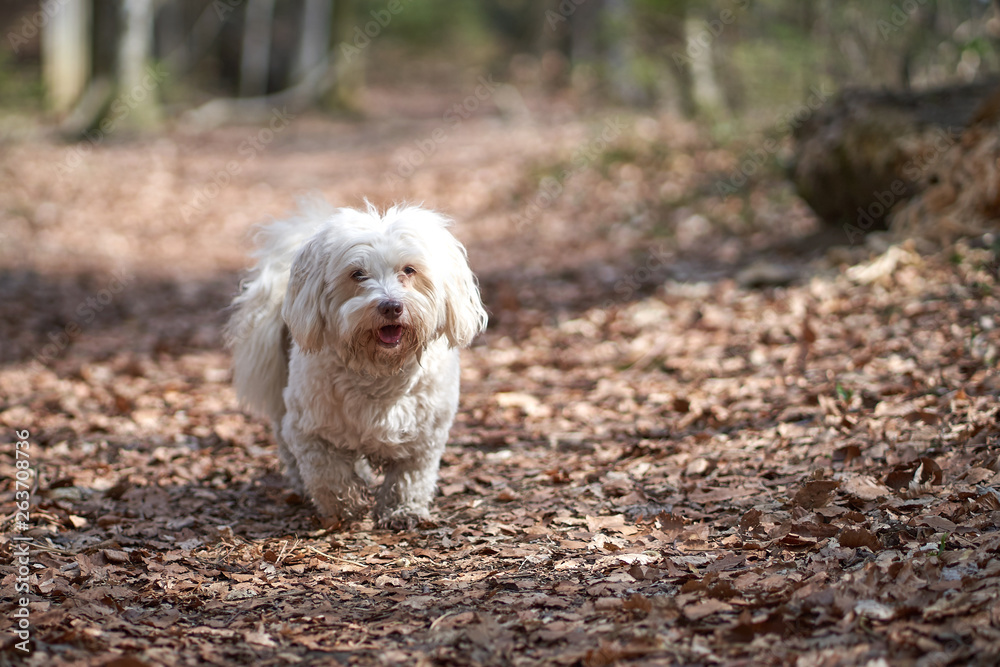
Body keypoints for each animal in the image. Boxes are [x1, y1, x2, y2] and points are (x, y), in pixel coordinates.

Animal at [228, 201, 492, 528]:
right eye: (357, 274)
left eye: (409, 270)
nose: (391, 306)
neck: (379, 370)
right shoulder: (308, 430)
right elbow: (328, 474)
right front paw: (346, 507)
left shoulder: (426, 435)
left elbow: (410, 477)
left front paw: (402, 511)